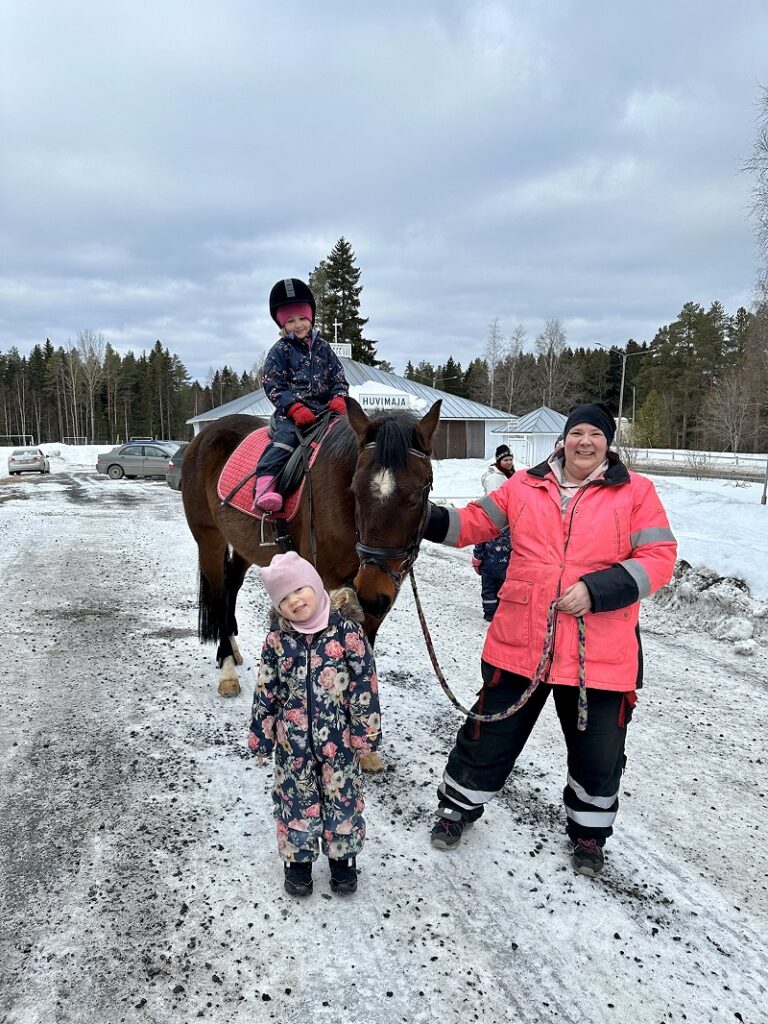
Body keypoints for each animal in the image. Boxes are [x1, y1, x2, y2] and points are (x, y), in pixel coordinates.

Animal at [180, 395, 442, 700]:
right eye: (355, 489)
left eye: (419, 492)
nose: (371, 595)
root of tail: (203, 436)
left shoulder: (383, 590)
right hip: (209, 540)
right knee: (220, 593)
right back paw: (227, 668)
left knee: (231, 583)